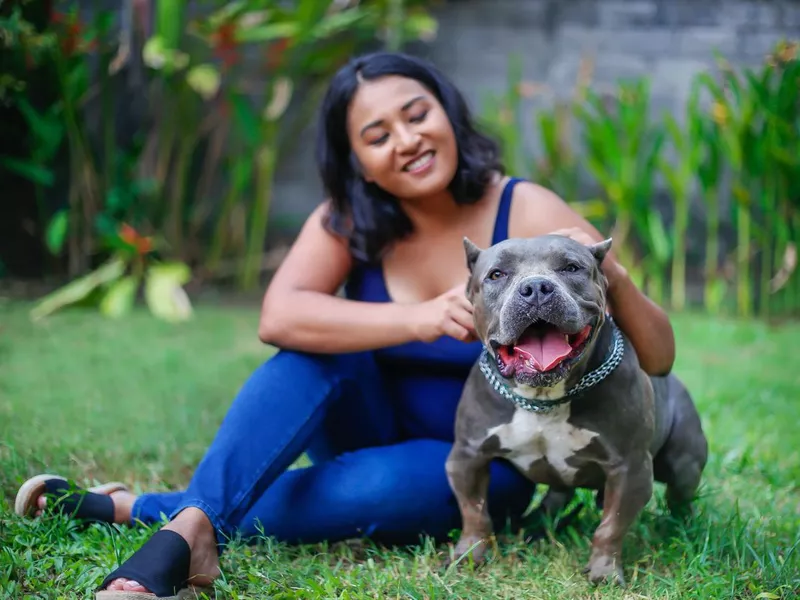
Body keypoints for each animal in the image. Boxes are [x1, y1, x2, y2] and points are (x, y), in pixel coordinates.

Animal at [446, 234, 708, 584]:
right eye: (497, 274)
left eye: (571, 267)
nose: (536, 287)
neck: (544, 398)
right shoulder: (467, 455)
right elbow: (474, 511)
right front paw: (469, 556)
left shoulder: (630, 467)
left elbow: (611, 525)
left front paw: (604, 572)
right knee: (558, 493)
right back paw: (536, 526)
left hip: (682, 462)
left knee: (680, 495)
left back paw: (681, 529)